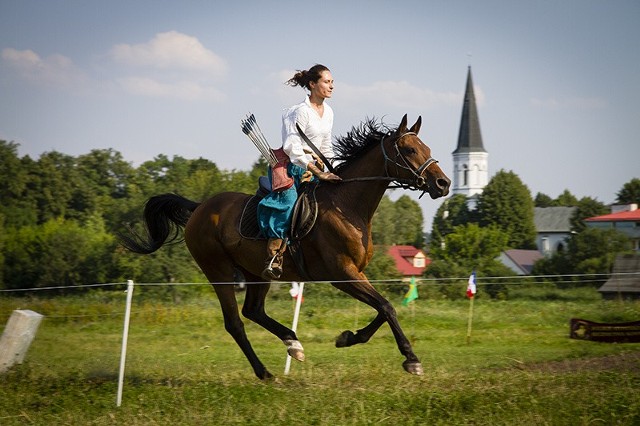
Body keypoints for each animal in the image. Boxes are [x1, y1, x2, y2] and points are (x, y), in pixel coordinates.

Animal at [121, 115, 450, 382]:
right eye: (410, 150)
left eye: (427, 148)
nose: (443, 183)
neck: (346, 204)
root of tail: (200, 207)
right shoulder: (342, 274)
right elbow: (386, 306)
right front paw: (412, 359)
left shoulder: (356, 273)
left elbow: (384, 307)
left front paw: (348, 338)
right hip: (219, 272)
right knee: (235, 323)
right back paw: (265, 372)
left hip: (257, 273)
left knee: (253, 310)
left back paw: (293, 343)